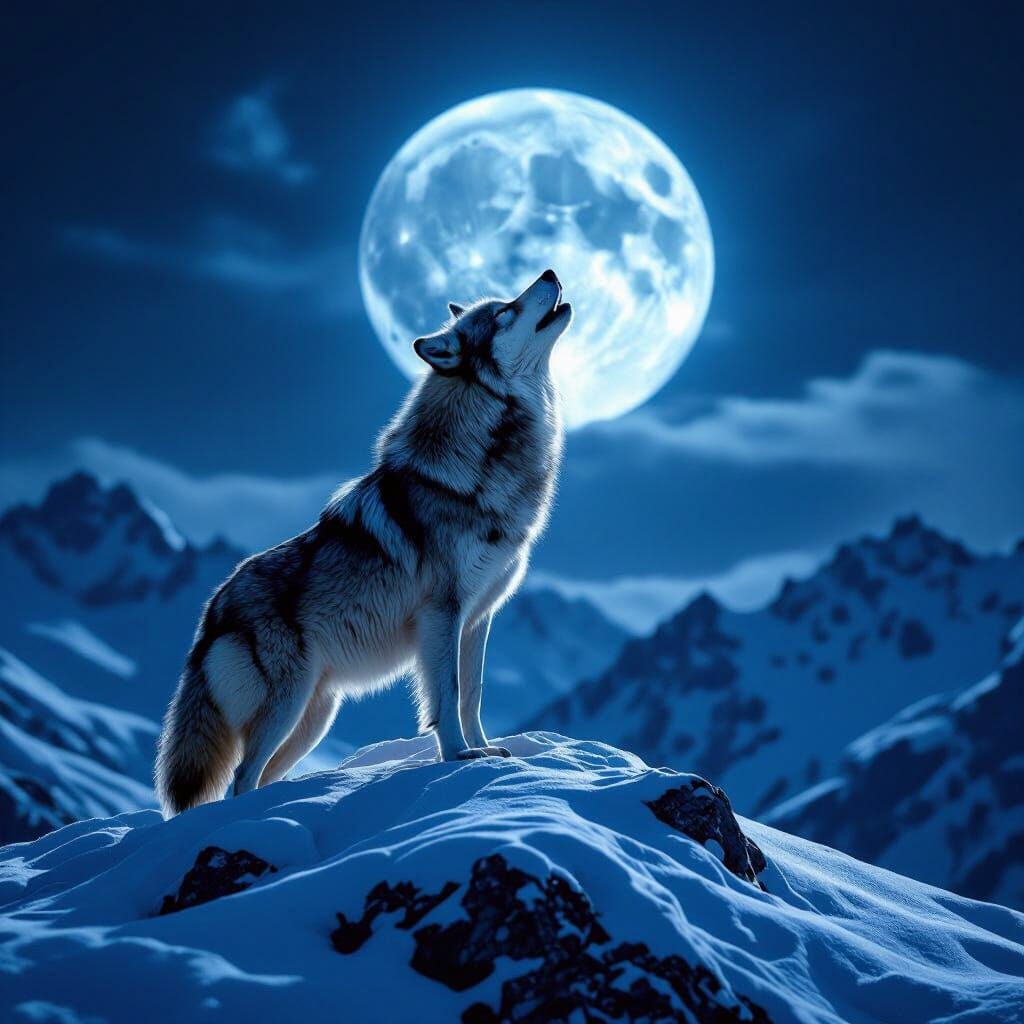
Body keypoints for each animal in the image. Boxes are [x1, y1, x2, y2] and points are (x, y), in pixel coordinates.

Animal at [155, 269, 571, 816]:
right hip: (287, 707)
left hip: (314, 718)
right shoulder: (442, 613)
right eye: (505, 312)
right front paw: (458, 757)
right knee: (241, 778)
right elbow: (446, 693)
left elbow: (473, 692)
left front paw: (486, 750)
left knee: (262, 776)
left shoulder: (479, 617)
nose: (550, 273)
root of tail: (213, 611)